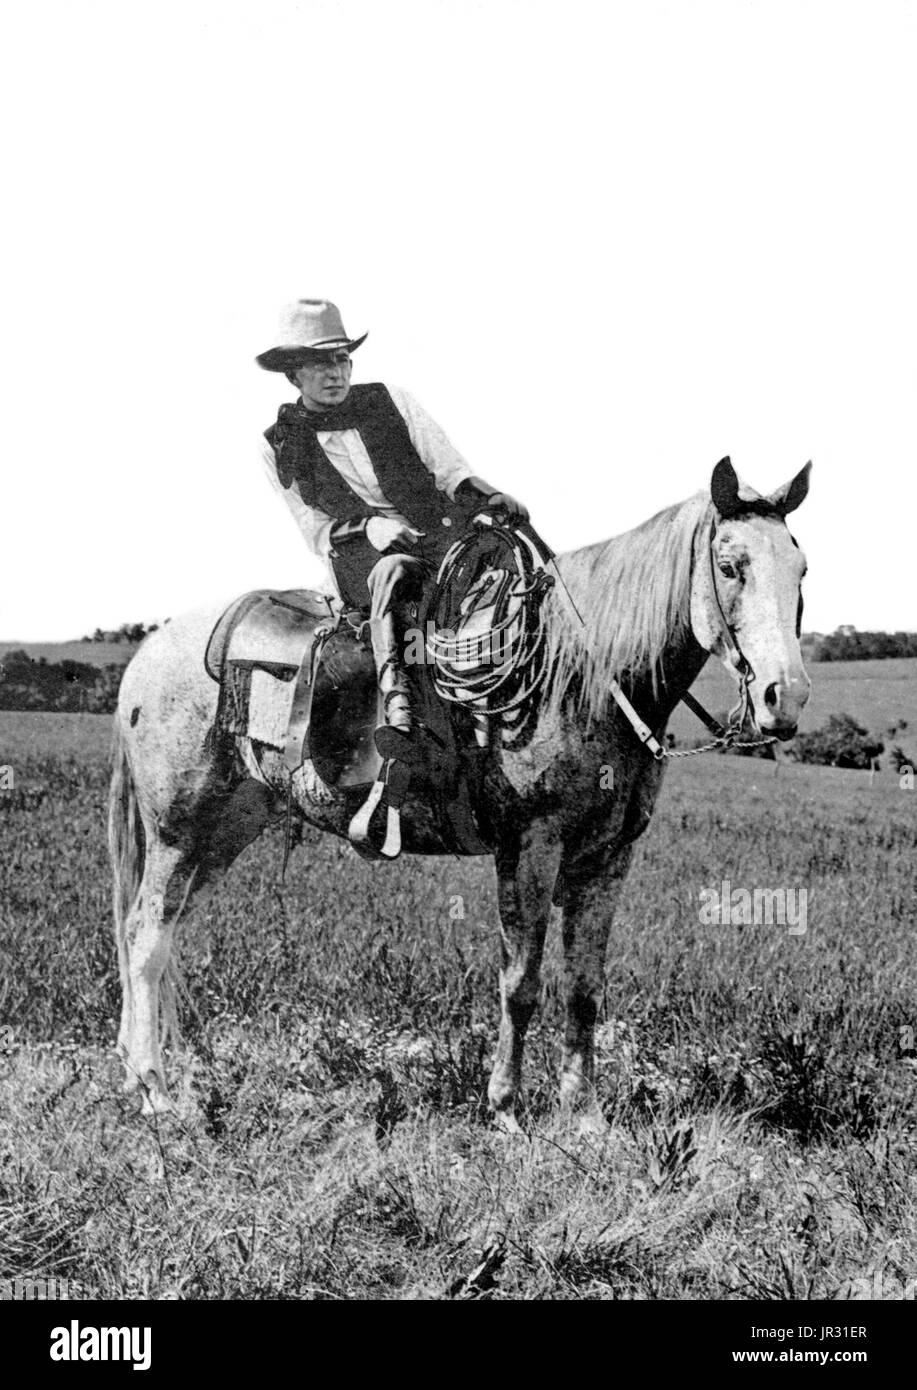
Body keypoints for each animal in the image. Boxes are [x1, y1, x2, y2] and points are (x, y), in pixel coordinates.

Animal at [107, 455, 811, 1128]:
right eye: (731, 566)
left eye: (801, 569)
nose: (787, 697)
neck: (575, 675)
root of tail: (148, 653)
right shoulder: (530, 846)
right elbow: (520, 983)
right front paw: (505, 1109)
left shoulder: (608, 857)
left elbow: (584, 988)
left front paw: (584, 1114)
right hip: (177, 830)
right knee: (144, 936)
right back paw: (152, 1091)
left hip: (225, 831)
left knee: (163, 933)